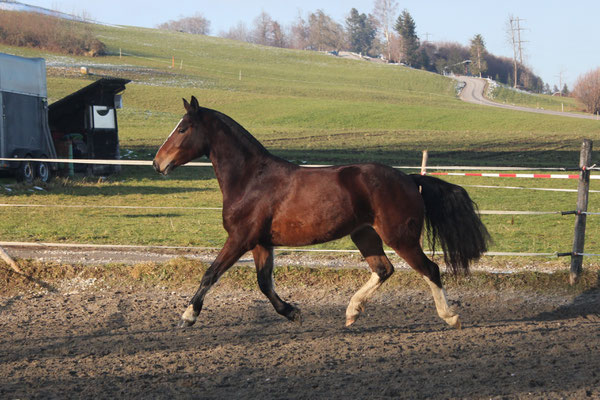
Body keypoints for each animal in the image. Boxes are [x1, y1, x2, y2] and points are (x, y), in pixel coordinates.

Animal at [152, 96, 490, 328]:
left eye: (182, 129)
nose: (157, 163)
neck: (251, 179)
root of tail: (408, 179)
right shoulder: (261, 243)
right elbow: (264, 283)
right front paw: (292, 312)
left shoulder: (240, 239)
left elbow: (211, 273)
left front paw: (188, 315)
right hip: (365, 235)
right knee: (383, 270)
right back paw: (352, 312)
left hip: (400, 237)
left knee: (430, 269)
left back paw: (450, 317)